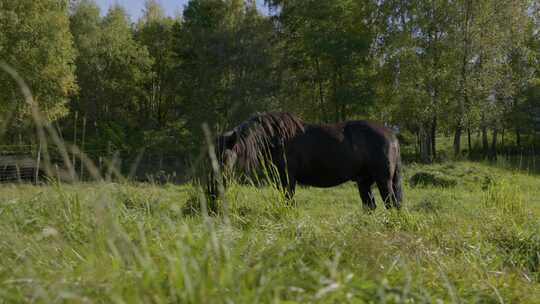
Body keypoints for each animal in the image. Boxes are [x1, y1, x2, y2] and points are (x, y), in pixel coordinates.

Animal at [209, 111, 402, 209]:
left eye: (224, 156)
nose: (214, 187)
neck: (276, 137)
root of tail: (391, 135)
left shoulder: (288, 178)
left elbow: (289, 201)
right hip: (364, 182)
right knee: (372, 206)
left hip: (383, 180)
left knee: (392, 204)